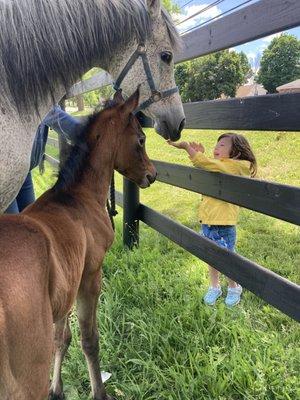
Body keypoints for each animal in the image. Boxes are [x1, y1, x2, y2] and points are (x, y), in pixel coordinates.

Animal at [0, 88, 156, 400]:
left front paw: (57, 389)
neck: (76, 196)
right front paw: (99, 392)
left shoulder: (66, 287)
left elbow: (62, 337)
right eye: (141, 139)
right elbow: (89, 340)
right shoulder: (90, 276)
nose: (152, 174)